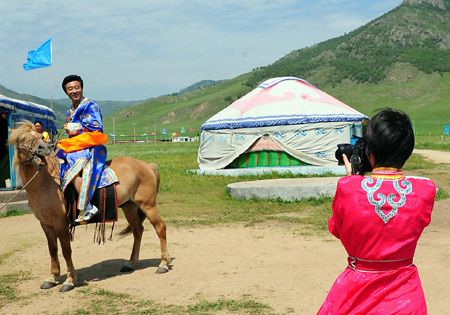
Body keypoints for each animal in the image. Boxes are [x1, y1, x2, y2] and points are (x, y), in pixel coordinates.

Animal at [7, 121, 170, 294]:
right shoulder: (45, 224)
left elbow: (66, 250)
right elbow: (52, 250)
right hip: (130, 207)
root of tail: (147, 165)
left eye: (40, 136)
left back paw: (163, 264)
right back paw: (131, 263)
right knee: (138, 230)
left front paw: (69, 280)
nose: (45, 148)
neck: (45, 182)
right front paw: (52, 278)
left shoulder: (60, 223)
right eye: (23, 138)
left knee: (160, 228)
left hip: (148, 205)